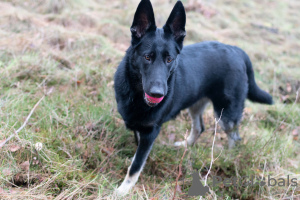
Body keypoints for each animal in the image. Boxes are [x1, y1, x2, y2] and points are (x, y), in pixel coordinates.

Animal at [113, 0, 274, 195]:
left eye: (170, 59)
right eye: (147, 57)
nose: (158, 94)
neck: (136, 93)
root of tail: (238, 50)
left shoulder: (150, 132)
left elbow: (136, 165)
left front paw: (122, 191)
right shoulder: (142, 128)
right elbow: (138, 152)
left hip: (226, 114)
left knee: (235, 138)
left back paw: (228, 158)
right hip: (196, 104)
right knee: (199, 127)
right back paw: (185, 145)